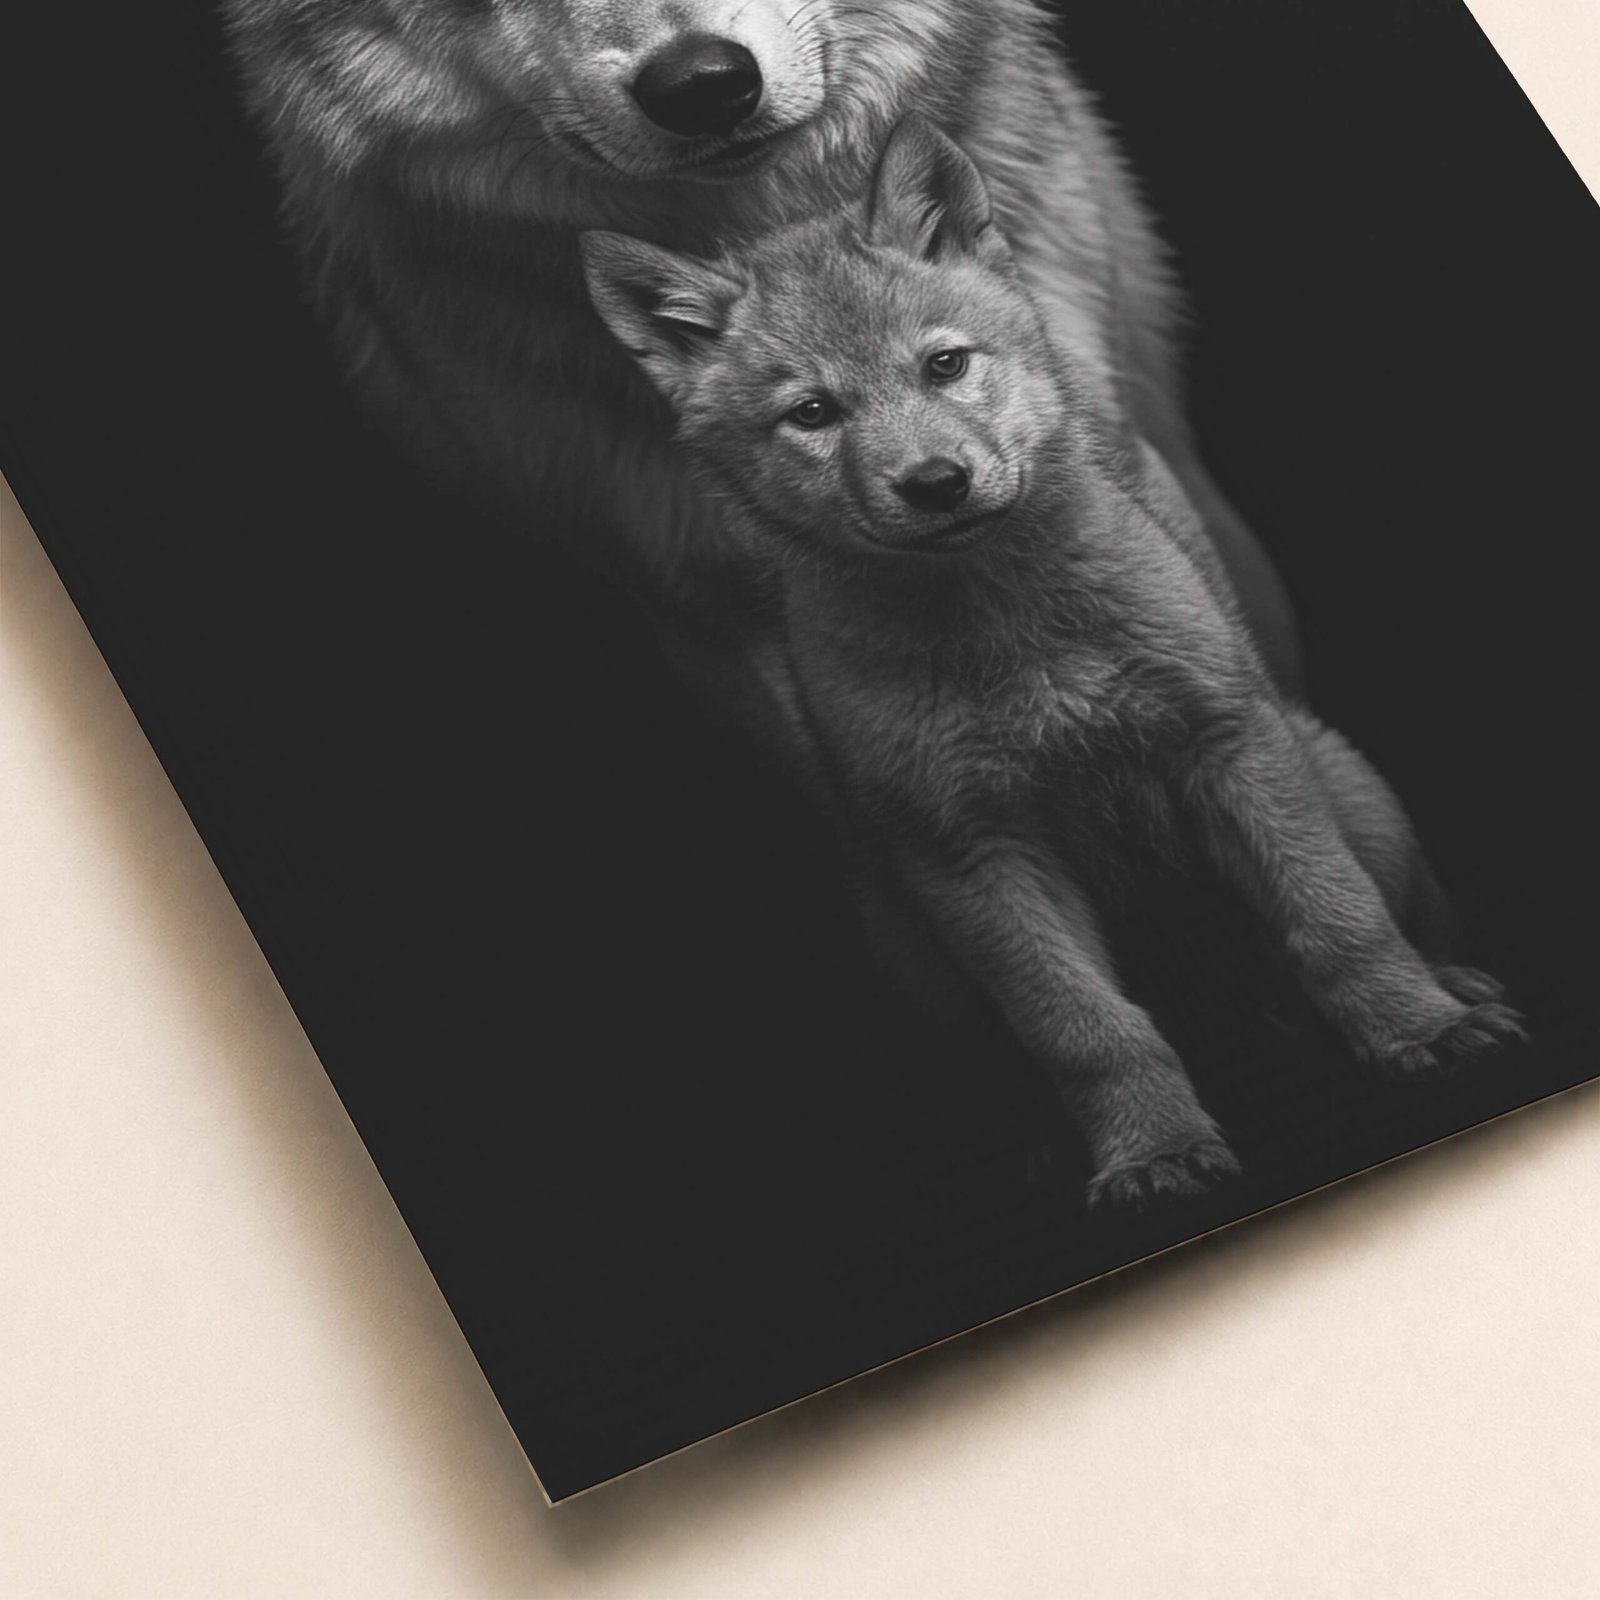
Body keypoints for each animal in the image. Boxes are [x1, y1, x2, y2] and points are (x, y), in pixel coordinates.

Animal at [581, 118, 1523, 1206]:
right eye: (812, 413)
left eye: (945, 365)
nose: (935, 483)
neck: (1020, 649)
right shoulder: (969, 852)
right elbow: (1083, 1030)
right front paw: (1153, 1151)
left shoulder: (1228, 744)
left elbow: (1335, 918)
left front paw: (1419, 1030)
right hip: (908, 943)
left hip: (1346, 784)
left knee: (1402, 913)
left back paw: (1451, 985)